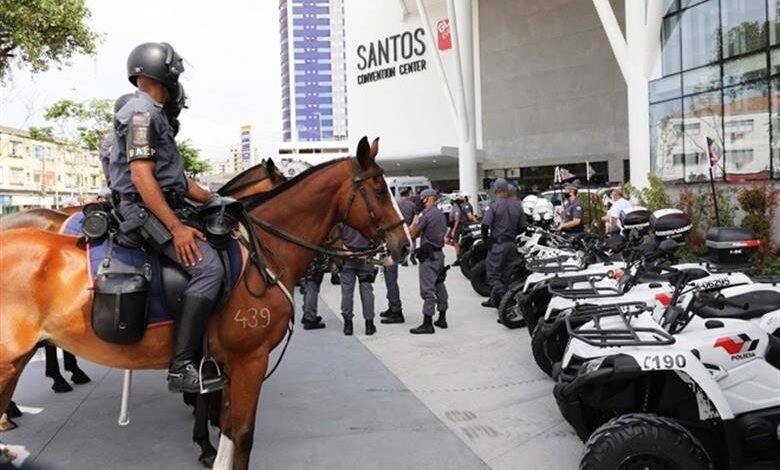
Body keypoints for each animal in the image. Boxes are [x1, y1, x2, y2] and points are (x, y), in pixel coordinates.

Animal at [0, 140, 408, 470]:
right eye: (379, 189)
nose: (403, 245)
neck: (263, 254)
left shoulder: (225, 362)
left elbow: (226, 424)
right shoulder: (248, 360)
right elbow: (240, 433)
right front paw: (206, 445)